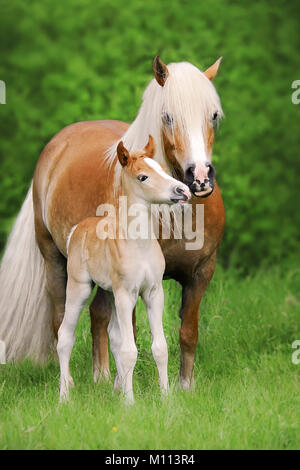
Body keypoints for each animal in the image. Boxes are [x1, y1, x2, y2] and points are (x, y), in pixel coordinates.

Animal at [56, 136, 190, 404]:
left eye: (162, 169)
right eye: (143, 177)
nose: (182, 191)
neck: (139, 245)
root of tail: (77, 229)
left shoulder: (153, 293)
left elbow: (159, 347)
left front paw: (165, 397)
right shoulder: (126, 295)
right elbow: (130, 350)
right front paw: (130, 403)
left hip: (110, 292)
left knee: (114, 336)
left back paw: (116, 389)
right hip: (80, 289)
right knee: (65, 336)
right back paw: (64, 395)